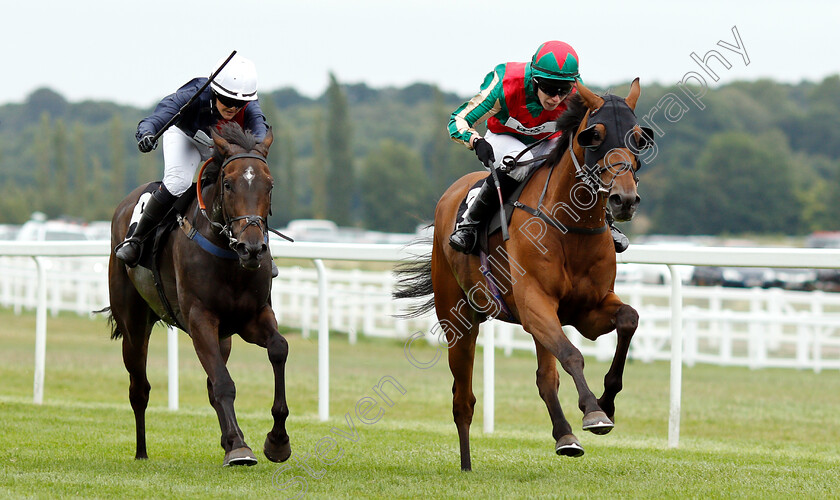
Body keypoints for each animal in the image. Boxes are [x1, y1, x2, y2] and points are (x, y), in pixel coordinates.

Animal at [105, 123, 292, 466]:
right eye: (228, 185)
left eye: (270, 186)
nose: (253, 248)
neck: (229, 256)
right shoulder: (200, 318)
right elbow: (223, 383)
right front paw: (241, 447)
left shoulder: (251, 317)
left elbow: (278, 349)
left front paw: (276, 441)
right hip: (134, 325)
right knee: (139, 388)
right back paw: (141, 451)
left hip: (225, 336)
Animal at [398, 80, 652, 470]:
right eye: (594, 136)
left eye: (638, 138)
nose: (624, 200)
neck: (570, 227)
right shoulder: (535, 304)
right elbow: (572, 355)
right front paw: (593, 412)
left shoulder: (588, 310)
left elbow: (628, 319)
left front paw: (606, 403)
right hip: (458, 319)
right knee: (463, 400)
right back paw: (466, 465)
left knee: (545, 377)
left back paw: (564, 436)